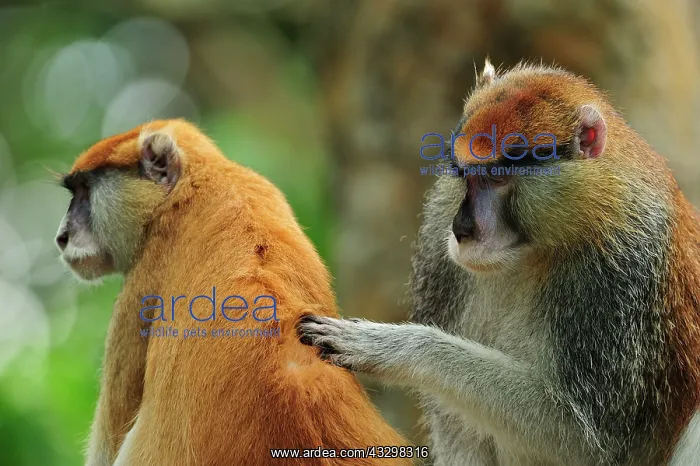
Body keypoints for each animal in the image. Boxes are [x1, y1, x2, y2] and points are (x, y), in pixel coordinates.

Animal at [298, 60, 700, 465]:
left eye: (496, 176)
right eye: (464, 174)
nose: (461, 229)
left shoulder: (619, 271)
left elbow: (577, 436)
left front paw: (388, 347)